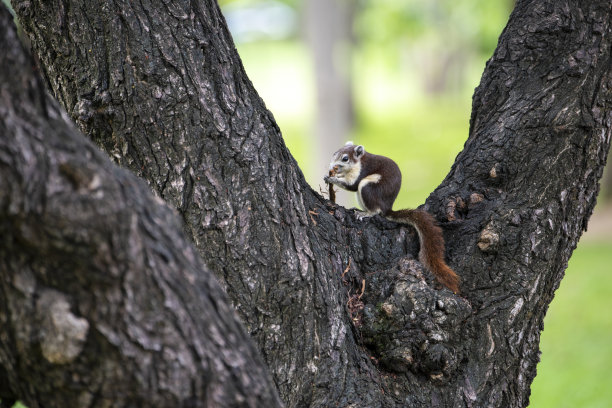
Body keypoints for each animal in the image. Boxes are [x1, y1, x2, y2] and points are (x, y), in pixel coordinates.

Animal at [326, 142, 460, 292]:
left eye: (345, 159)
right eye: (334, 153)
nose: (332, 167)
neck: (359, 161)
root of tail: (387, 208)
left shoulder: (361, 171)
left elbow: (352, 185)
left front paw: (332, 178)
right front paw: (332, 174)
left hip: (368, 187)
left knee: (375, 209)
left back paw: (365, 213)